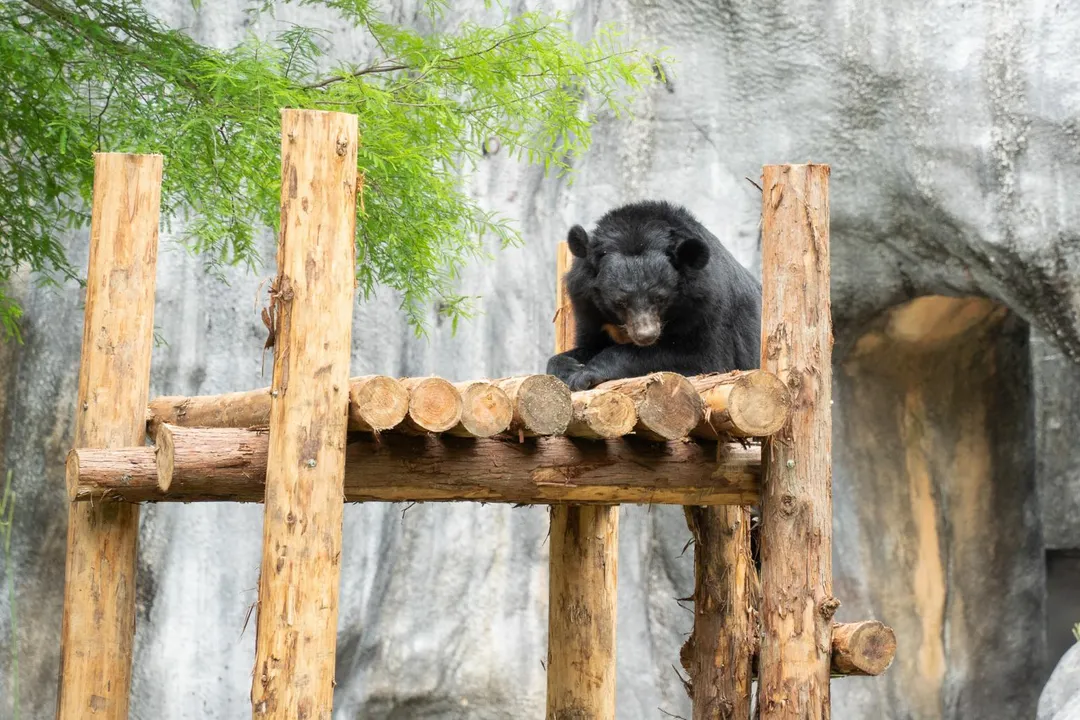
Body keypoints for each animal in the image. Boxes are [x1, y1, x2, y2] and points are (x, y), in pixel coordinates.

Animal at [546, 200, 761, 391]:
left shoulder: (707, 309)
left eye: (660, 298)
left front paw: (584, 374)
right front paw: (570, 367)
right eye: (620, 302)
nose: (646, 336)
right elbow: (586, 345)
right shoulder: (589, 309)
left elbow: (703, 359)